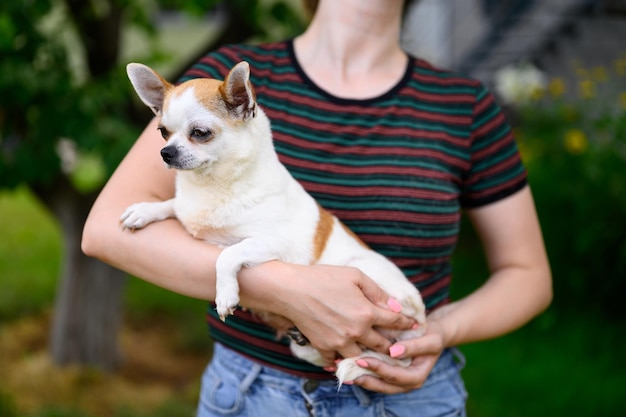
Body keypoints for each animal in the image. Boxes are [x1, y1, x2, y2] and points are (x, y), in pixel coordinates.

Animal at [120, 60, 426, 382]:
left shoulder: (273, 244)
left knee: (391, 357)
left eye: (200, 133)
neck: (213, 186)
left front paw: (225, 294)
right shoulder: (188, 210)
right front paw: (145, 210)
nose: (166, 152)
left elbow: (228, 254)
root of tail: (420, 320)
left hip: (365, 279)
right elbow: (174, 205)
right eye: (163, 132)